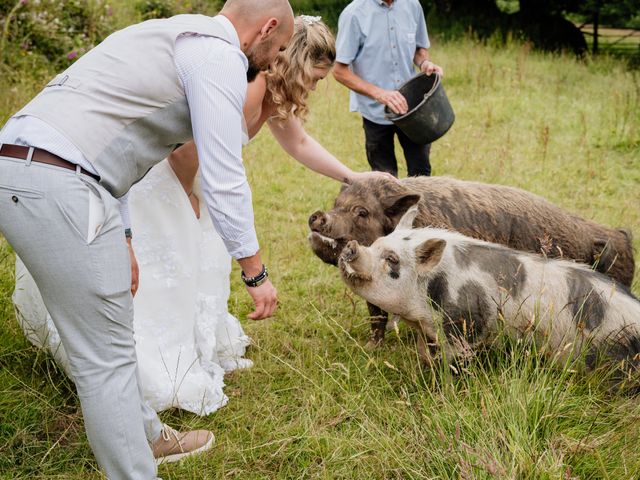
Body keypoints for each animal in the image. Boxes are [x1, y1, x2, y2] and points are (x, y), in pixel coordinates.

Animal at [340, 207, 640, 378]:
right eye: (376, 244)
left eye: (392, 259)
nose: (352, 247)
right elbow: (426, 353)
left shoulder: (464, 327)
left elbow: (455, 362)